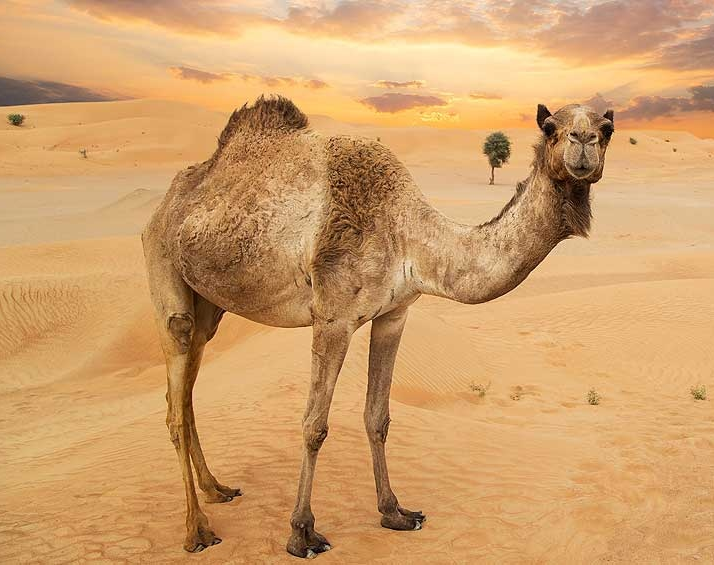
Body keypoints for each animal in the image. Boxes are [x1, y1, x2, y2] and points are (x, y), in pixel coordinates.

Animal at [142, 96, 614, 557]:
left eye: (606, 130)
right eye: (550, 128)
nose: (583, 141)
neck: (409, 239)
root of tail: (162, 207)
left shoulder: (394, 313)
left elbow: (377, 416)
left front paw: (395, 512)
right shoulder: (332, 317)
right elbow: (314, 425)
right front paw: (301, 533)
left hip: (210, 305)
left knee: (184, 395)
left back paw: (216, 489)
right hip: (165, 272)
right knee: (175, 398)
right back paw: (197, 530)